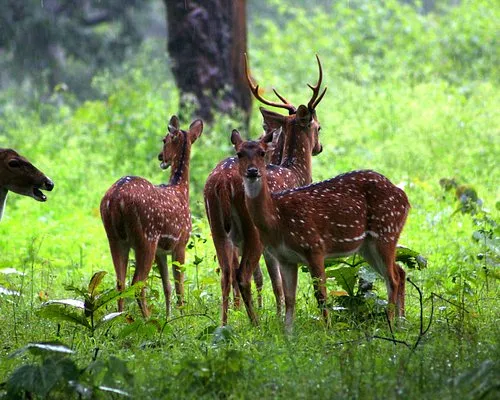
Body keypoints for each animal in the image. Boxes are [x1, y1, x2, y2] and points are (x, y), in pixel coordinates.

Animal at [100, 115, 202, 318]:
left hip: (115, 238)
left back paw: (120, 318)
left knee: (120, 283)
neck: (181, 190)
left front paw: (169, 316)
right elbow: (179, 286)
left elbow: (167, 286)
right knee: (137, 284)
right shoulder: (180, 243)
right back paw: (147, 319)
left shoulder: (161, 251)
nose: (160, 157)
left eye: (164, 140)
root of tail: (115, 197)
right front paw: (180, 316)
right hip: (146, 237)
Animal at [204, 54, 328, 324]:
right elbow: (281, 282)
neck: (295, 172)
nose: (319, 147)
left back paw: (224, 324)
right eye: (318, 126)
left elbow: (276, 283)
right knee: (241, 274)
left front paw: (279, 314)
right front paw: (282, 317)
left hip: (216, 226)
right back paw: (255, 324)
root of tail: (221, 183)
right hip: (253, 230)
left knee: (225, 273)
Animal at [230, 130, 410, 330]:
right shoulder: (285, 258)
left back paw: (391, 323)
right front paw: (287, 332)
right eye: (239, 153)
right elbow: (290, 298)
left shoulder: (314, 246)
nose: (252, 171)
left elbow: (321, 295)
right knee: (400, 272)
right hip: (368, 246)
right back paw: (401, 322)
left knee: (393, 278)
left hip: (386, 231)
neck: (277, 218)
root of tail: (405, 198)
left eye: (262, 152)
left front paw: (328, 330)